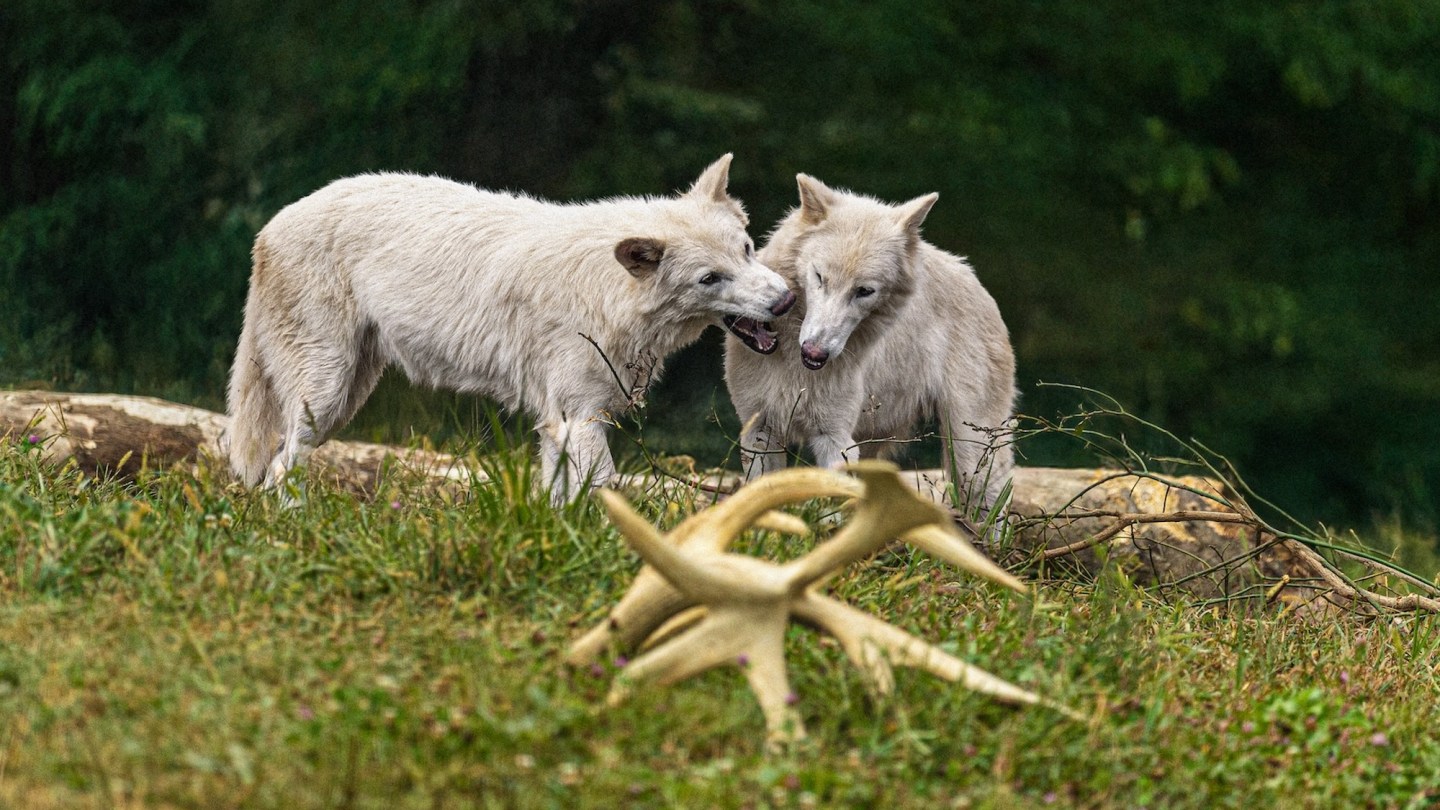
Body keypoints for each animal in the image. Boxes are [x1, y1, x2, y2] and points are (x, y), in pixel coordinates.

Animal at [227, 154, 795, 504]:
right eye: (710, 278)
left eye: (747, 249)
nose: (786, 300)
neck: (608, 293)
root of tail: (269, 227)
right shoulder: (578, 420)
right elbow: (606, 493)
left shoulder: (560, 425)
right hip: (324, 396)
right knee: (279, 469)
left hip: (345, 399)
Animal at [724, 174, 1017, 522]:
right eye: (819, 277)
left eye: (864, 291)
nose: (814, 352)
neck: (793, 363)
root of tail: (977, 281)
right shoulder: (759, 430)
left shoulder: (833, 438)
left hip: (971, 449)